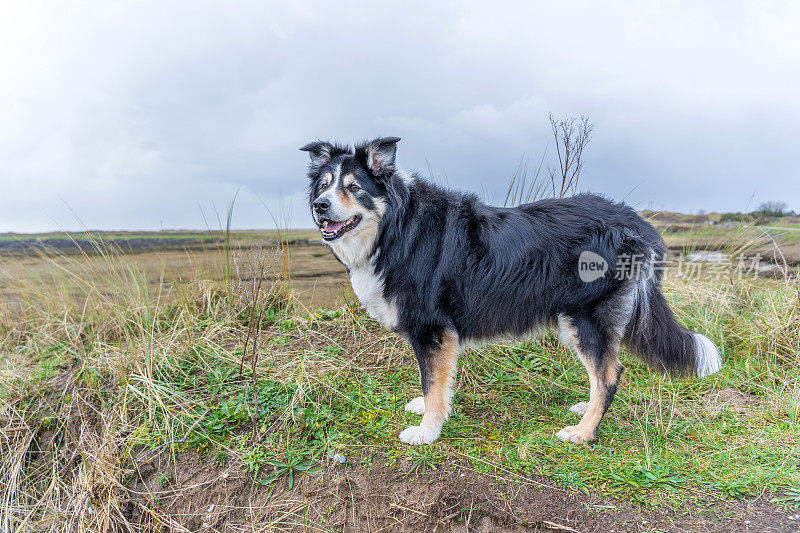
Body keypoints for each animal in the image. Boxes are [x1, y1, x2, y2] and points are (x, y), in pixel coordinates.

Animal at [302, 137, 724, 444]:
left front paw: (427, 432)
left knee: (609, 374)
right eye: (323, 186)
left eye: (354, 187)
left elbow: (433, 383)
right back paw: (584, 411)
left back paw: (584, 433)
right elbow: (433, 383)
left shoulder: (432, 329)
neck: (397, 226)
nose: (320, 206)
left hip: (585, 316)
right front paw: (424, 411)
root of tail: (637, 222)